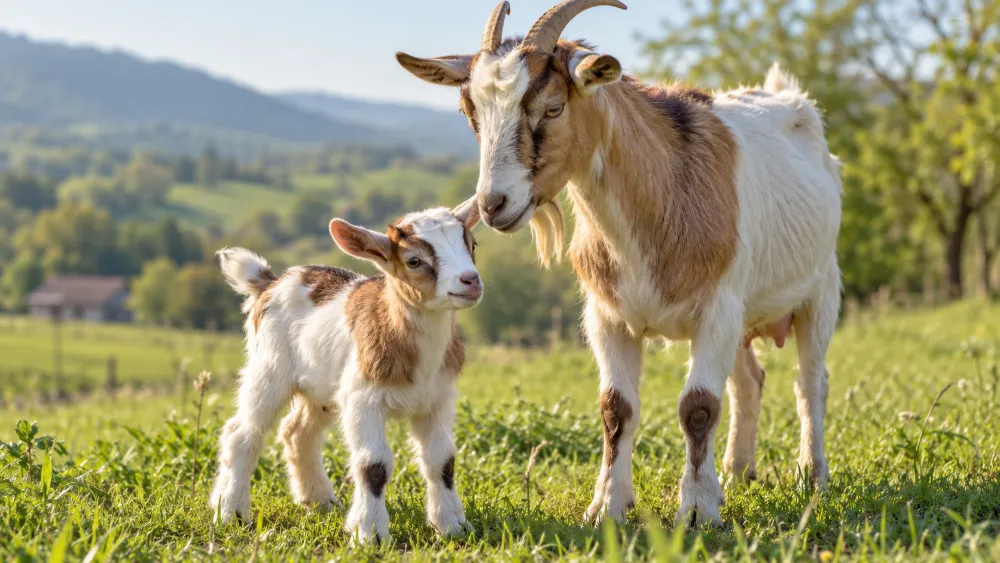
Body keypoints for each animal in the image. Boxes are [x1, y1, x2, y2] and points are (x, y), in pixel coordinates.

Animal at [210, 200, 482, 544]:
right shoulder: (362, 398)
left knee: (297, 432)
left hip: (321, 388)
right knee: (243, 433)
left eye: (472, 245)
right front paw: (370, 534)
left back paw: (320, 501)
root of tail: (270, 281)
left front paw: (452, 526)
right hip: (268, 367)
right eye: (414, 260)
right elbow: (373, 464)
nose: (470, 280)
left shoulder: (438, 399)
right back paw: (231, 512)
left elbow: (442, 460)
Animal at [397, 0, 842, 527]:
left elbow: (698, 407)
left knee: (810, 382)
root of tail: (788, 95)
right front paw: (607, 506)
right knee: (749, 382)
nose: (492, 205)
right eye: (471, 115)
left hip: (820, 291)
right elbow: (616, 409)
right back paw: (736, 473)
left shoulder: (718, 308)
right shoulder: (607, 315)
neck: (662, 192)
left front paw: (696, 511)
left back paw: (812, 476)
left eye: (553, 107)